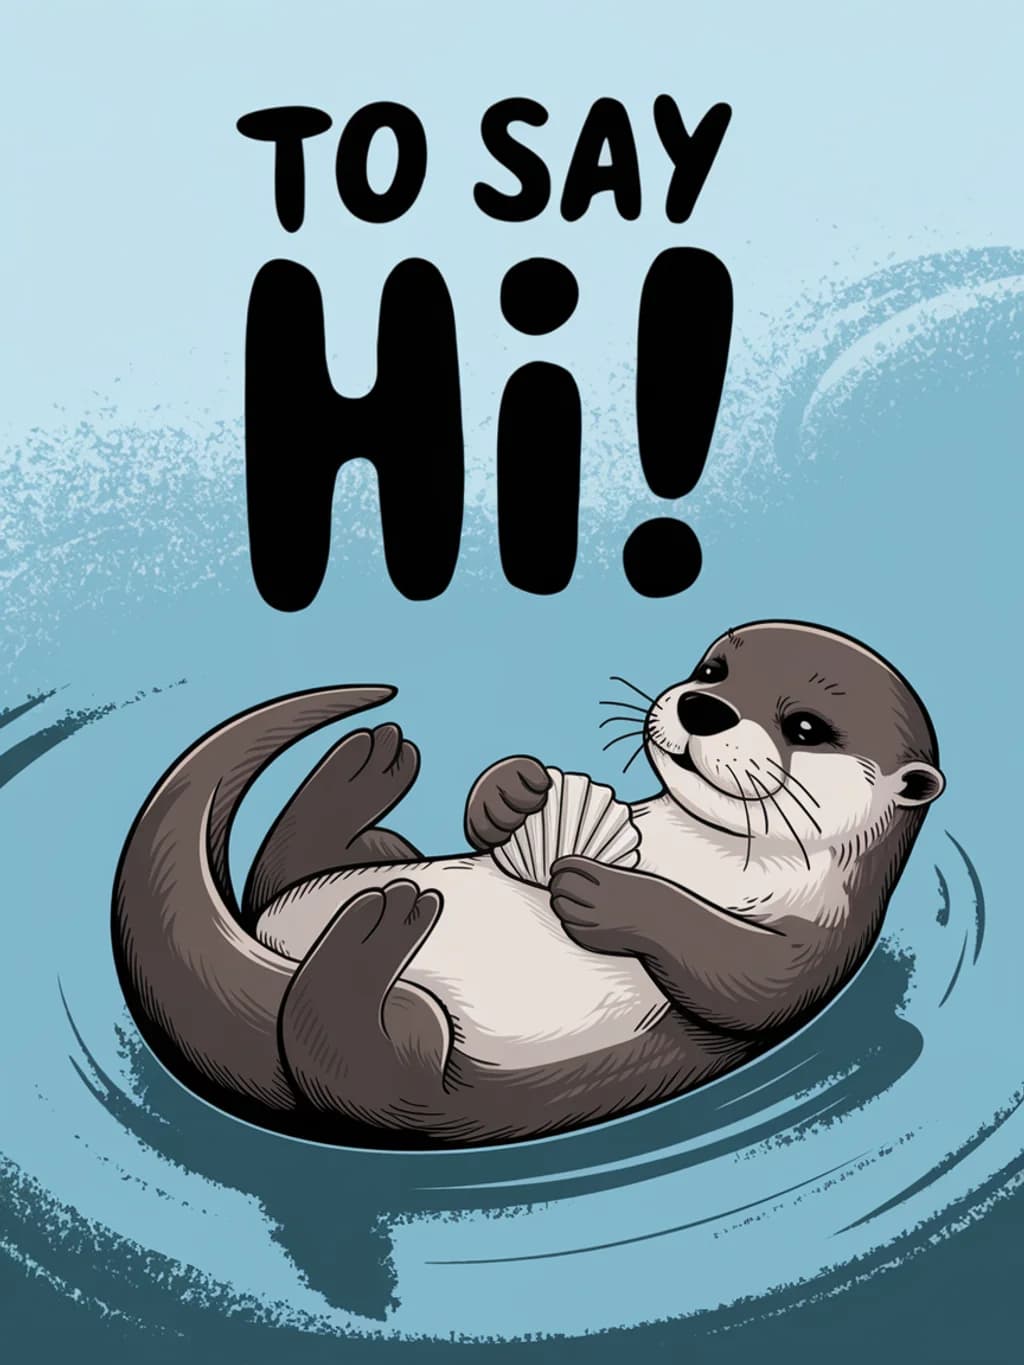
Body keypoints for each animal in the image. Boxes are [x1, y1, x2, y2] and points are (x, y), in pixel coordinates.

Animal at [112, 621, 944, 1147]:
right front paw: (514, 793)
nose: (704, 705)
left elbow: (746, 977)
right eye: (714, 670)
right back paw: (366, 767)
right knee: (298, 872)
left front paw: (604, 893)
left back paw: (381, 928)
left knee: (344, 1063)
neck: (708, 854)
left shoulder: (823, 939)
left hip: (432, 1086)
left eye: (804, 726)